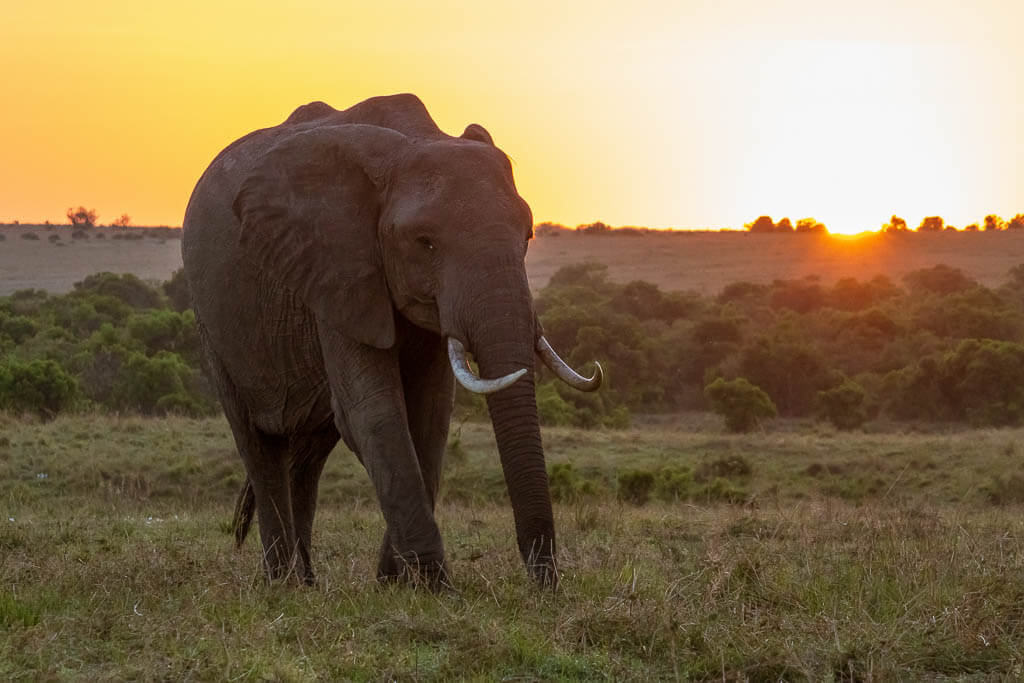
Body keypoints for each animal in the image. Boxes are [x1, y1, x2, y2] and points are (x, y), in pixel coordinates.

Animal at [181, 94, 601, 589]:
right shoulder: (337, 268)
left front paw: (397, 583)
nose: (545, 585)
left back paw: (307, 585)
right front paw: (435, 586)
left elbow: (431, 416)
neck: (413, 141)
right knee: (259, 445)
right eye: (425, 242)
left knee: (308, 454)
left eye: (529, 234)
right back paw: (282, 585)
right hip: (211, 320)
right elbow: (373, 412)